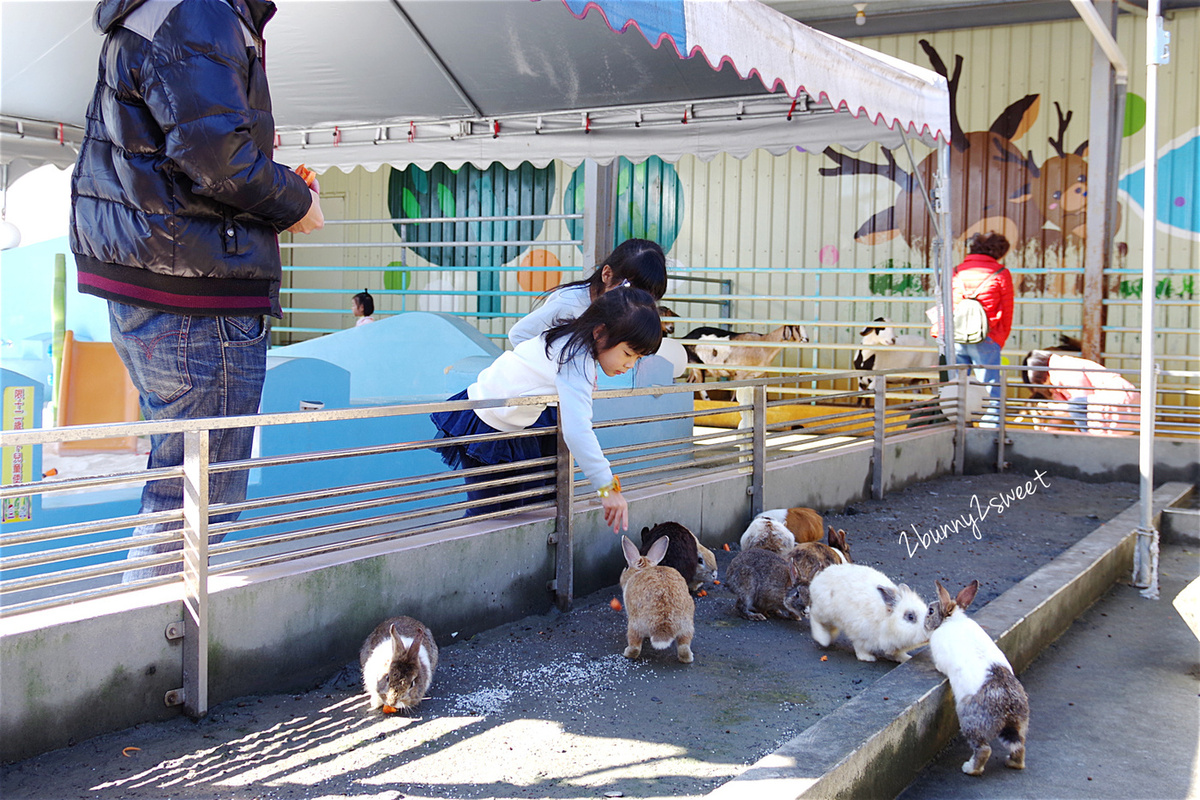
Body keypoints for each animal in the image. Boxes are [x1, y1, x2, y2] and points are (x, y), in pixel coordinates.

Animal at [926, 582, 1032, 777]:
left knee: (984, 749)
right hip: (1019, 725)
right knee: (1019, 746)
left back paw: (970, 769)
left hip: (970, 723)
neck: (952, 620)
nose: (924, 621)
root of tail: (1008, 709)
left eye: (930, 611)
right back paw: (1013, 763)